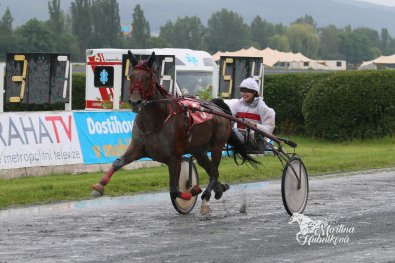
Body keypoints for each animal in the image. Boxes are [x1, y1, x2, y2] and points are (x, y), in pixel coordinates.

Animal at [92, 51, 260, 214]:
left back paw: (206, 197)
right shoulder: (137, 148)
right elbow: (118, 162)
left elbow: (174, 191)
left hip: (217, 146)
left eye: (147, 77)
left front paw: (194, 190)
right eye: (131, 76)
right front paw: (99, 187)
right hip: (199, 150)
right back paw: (219, 190)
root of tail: (216, 107)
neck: (156, 120)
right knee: (212, 170)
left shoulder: (174, 158)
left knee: (214, 171)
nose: (135, 102)